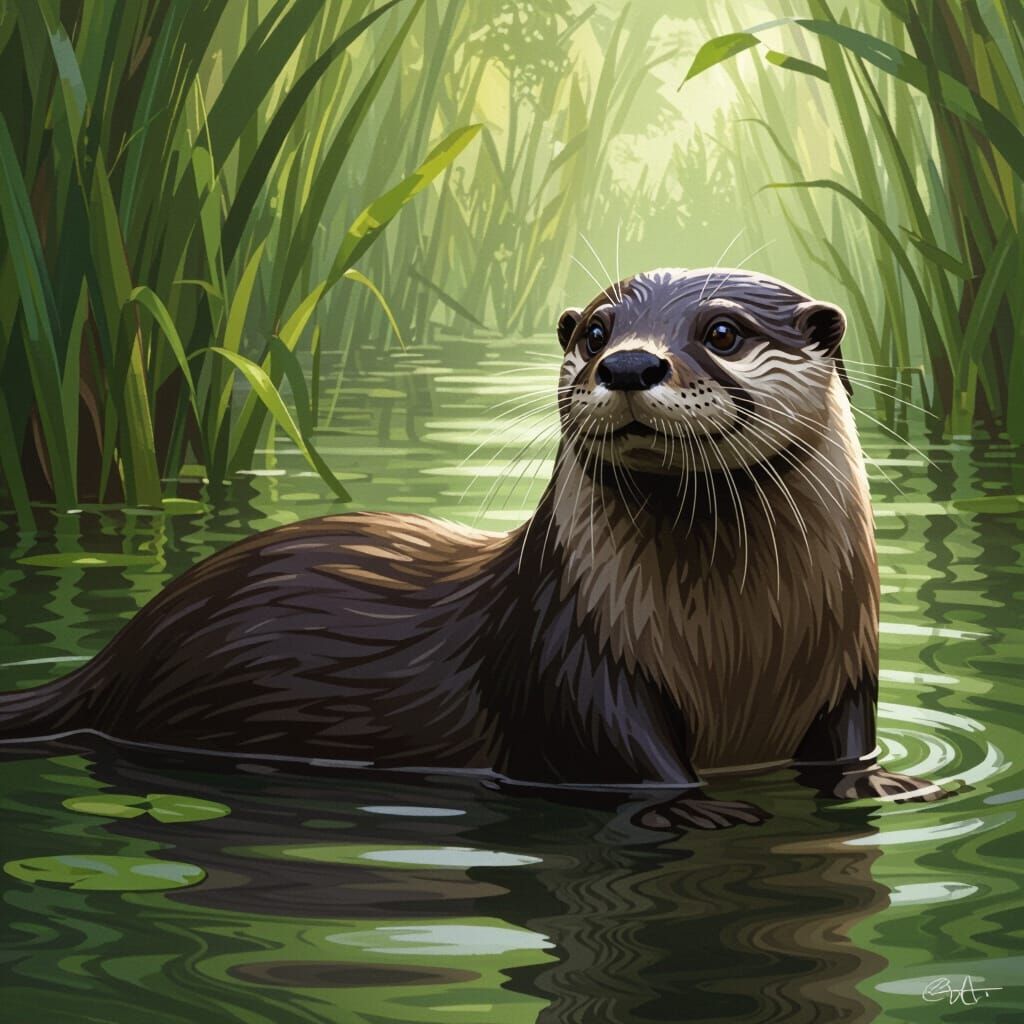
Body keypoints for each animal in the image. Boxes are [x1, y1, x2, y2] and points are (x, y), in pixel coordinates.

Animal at [0, 268, 946, 829]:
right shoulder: (569, 655)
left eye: (722, 332)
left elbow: (850, 744)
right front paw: (695, 809)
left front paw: (879, 784)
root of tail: (115, 655)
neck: (741, 646)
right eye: (595, 332)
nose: (629, 365)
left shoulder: (848, 665)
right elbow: (621, 757)